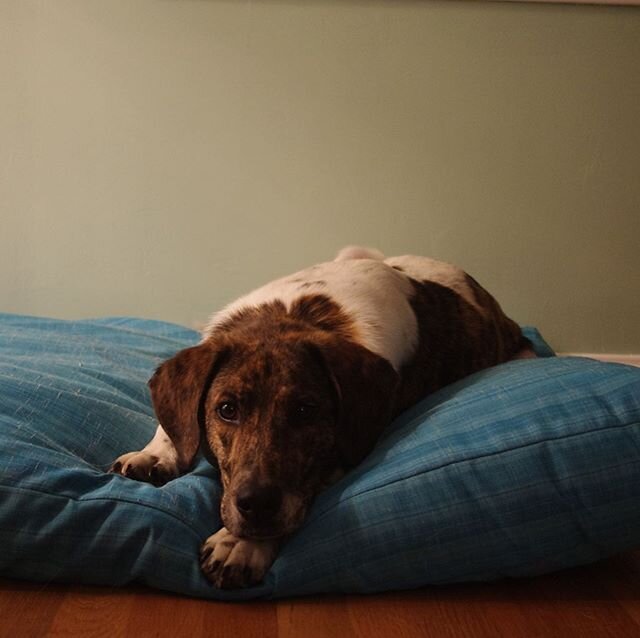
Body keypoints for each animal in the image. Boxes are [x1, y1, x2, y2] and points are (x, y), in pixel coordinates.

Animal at [110, 249, 536, 592]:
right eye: (227, 409)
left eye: (305, 411)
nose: (256, 505)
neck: (287, 315)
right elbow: (173, 423)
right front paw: (155, 454)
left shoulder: (342, 451)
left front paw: (241, 544)